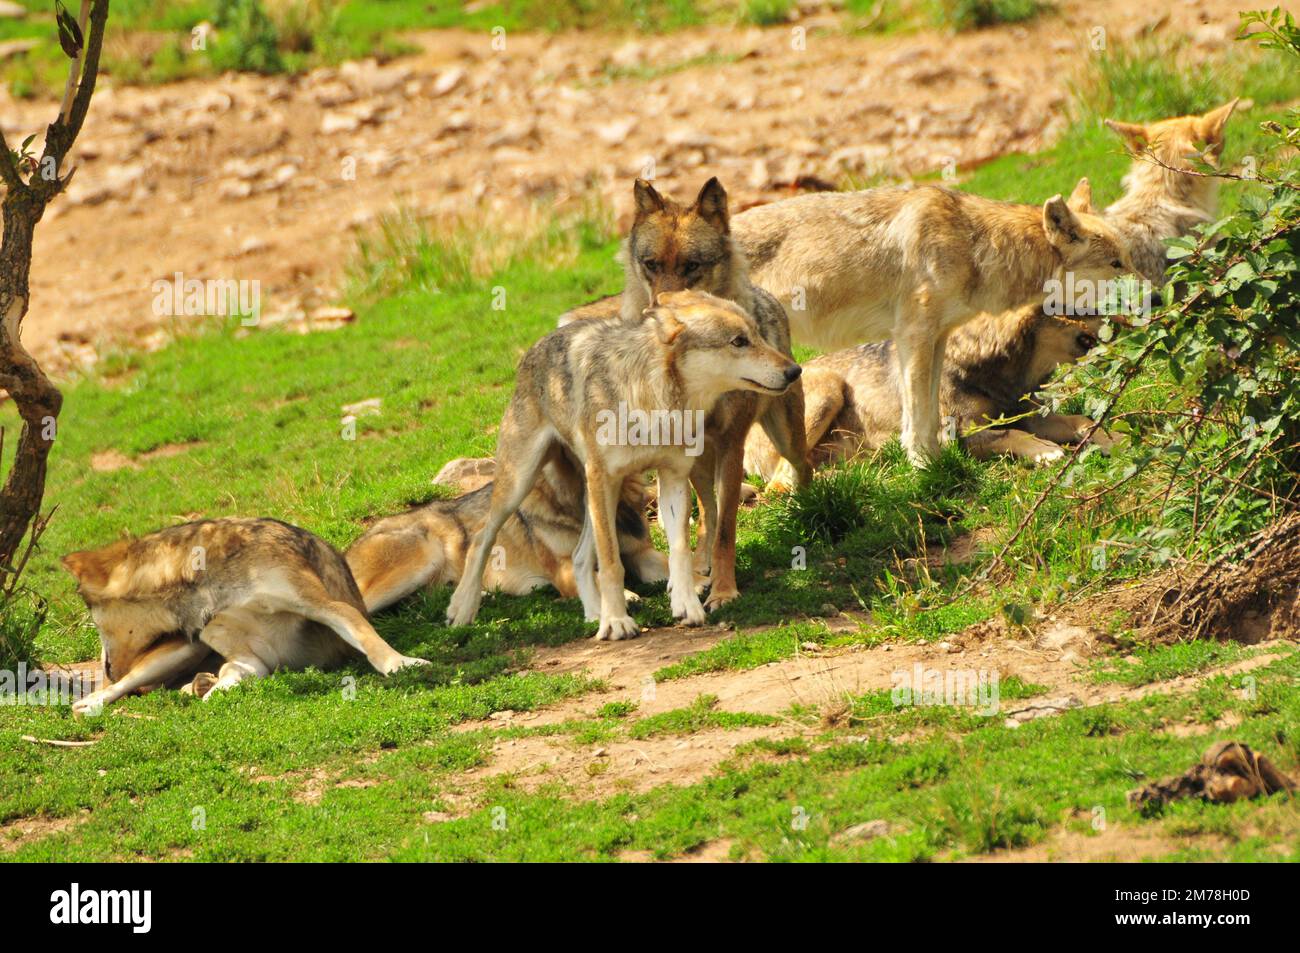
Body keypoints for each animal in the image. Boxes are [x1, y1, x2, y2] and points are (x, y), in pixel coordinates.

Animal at [61, 517, 426, 712]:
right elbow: (236, 670)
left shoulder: (321, 605)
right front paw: (215, 688)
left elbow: (365, 635)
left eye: (94, 621)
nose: (107, 670)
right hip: (184, 649)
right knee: (126, 687)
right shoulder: (229, 643)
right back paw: (92, 703)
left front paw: (400, 663)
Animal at [449, 289, 800, 639]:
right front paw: (617, 621)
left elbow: (679, 552)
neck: (653, 400)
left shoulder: (673, 478)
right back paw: (462, 610)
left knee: (578, 557)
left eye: (757, 334)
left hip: (598, 498)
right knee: (481, 538)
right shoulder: (604, 479)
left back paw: (593, 613)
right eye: (739, 341)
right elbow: (612, 564)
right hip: (524, 484)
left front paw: (687, 606)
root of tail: (535, 347)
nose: (795, 370)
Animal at [561, 176, 806, 608]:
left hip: (784, 437)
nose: (658, 313)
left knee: (804, 468)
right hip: (698, 463)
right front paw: (697, 581)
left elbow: (727, 530)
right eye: (651, 264)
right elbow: (699, 525)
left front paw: (724, 590)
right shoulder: (680, 455)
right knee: (707, 512)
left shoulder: (731, 445)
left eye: (692, 266)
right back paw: (700, 565)